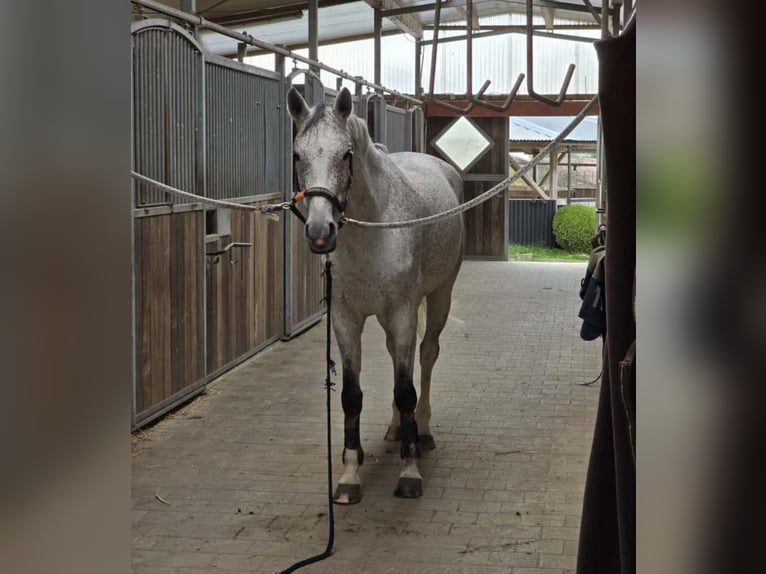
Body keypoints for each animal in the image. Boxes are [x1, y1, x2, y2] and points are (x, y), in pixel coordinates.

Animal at [287, 86, 464, 503]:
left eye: (346, 154)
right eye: (298, 155)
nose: (320, 231)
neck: (372, 232)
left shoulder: (402, 313)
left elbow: (406, 390)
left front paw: (410, 472)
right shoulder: (346, 319)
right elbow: (352, 395)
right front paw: (350, 475)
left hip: (439, 295)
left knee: (426, 356)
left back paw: (422, 432)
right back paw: (398, 429)